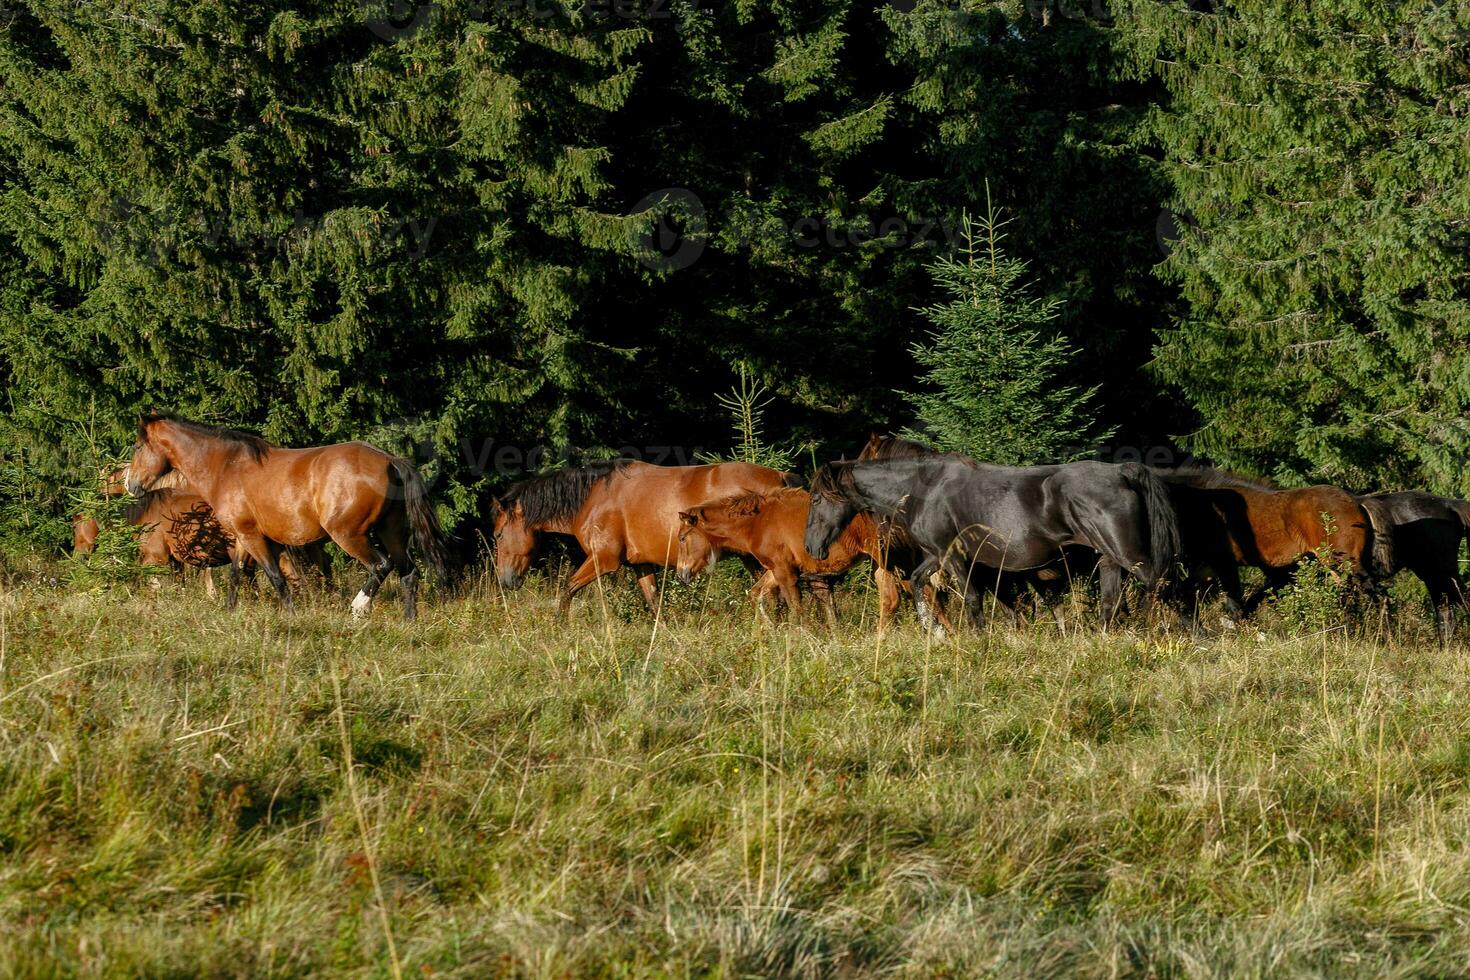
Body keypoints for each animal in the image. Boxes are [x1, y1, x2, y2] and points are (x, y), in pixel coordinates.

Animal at [124, 414, 446, 620]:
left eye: (138, 446)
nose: (131, 484)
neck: (226, 466)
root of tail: (390, 460)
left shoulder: (254, 537)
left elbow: (275, 576)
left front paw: (290, 616)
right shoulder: (242, 538)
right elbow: (237, 575)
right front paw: (230, 612)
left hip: (349, 535)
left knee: (381, 566)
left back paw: (358, 609)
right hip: (391, 532)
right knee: (408, 573)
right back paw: (408, 621)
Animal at [493, 461, 799, 614]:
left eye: (497, 535)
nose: (505, 580)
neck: (593, 497)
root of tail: (781, 477)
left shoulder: (603, 560)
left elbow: (568, 589)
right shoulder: (640, 564)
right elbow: (654, 602)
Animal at [673, 490, 899, 628]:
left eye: (682, 538)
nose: (681, 574)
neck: (758, 523)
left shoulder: (785, 572)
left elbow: (796, 609)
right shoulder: (776, 569)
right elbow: (755, 595)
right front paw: (770, 629)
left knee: (893, 598)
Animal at [805, 455, 1181, 631]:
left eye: (816, 499)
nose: (811, 548)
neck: (925, 489)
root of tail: (1121, 471)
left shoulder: (955, 558)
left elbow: (972, 600)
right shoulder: (937, 555)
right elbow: (917, 581)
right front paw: (934, 630)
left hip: (1129, 554)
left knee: (1162, 585)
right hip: (1108, 558)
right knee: (1111, 602)